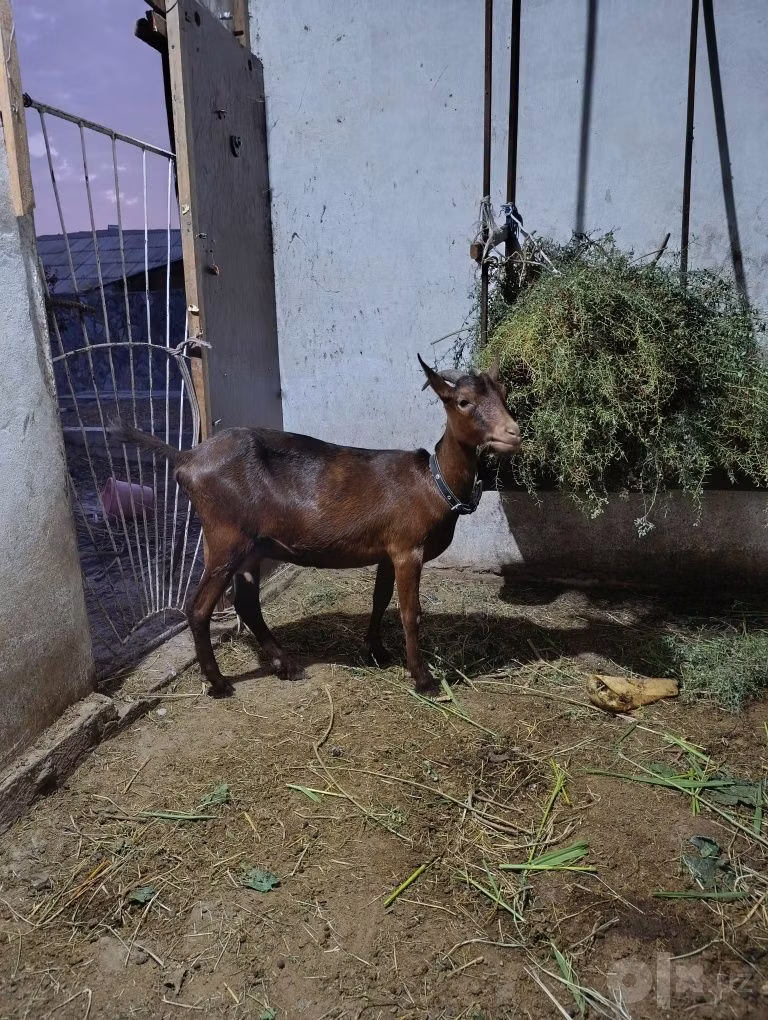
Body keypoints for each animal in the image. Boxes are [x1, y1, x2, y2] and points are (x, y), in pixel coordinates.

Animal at [110, 355, 521, 697]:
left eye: (503, 393)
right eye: (463, 401)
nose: (513, 433)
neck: (432, 483)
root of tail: (187, 457)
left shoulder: (387, 550)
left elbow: (379, 600)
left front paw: (376, 651)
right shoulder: (408, 548)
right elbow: (410, 613)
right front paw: (424, 680)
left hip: (251, 546)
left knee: (246, 603)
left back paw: (286, 665)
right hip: (226, 537)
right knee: (197, 609)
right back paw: (220, 683)